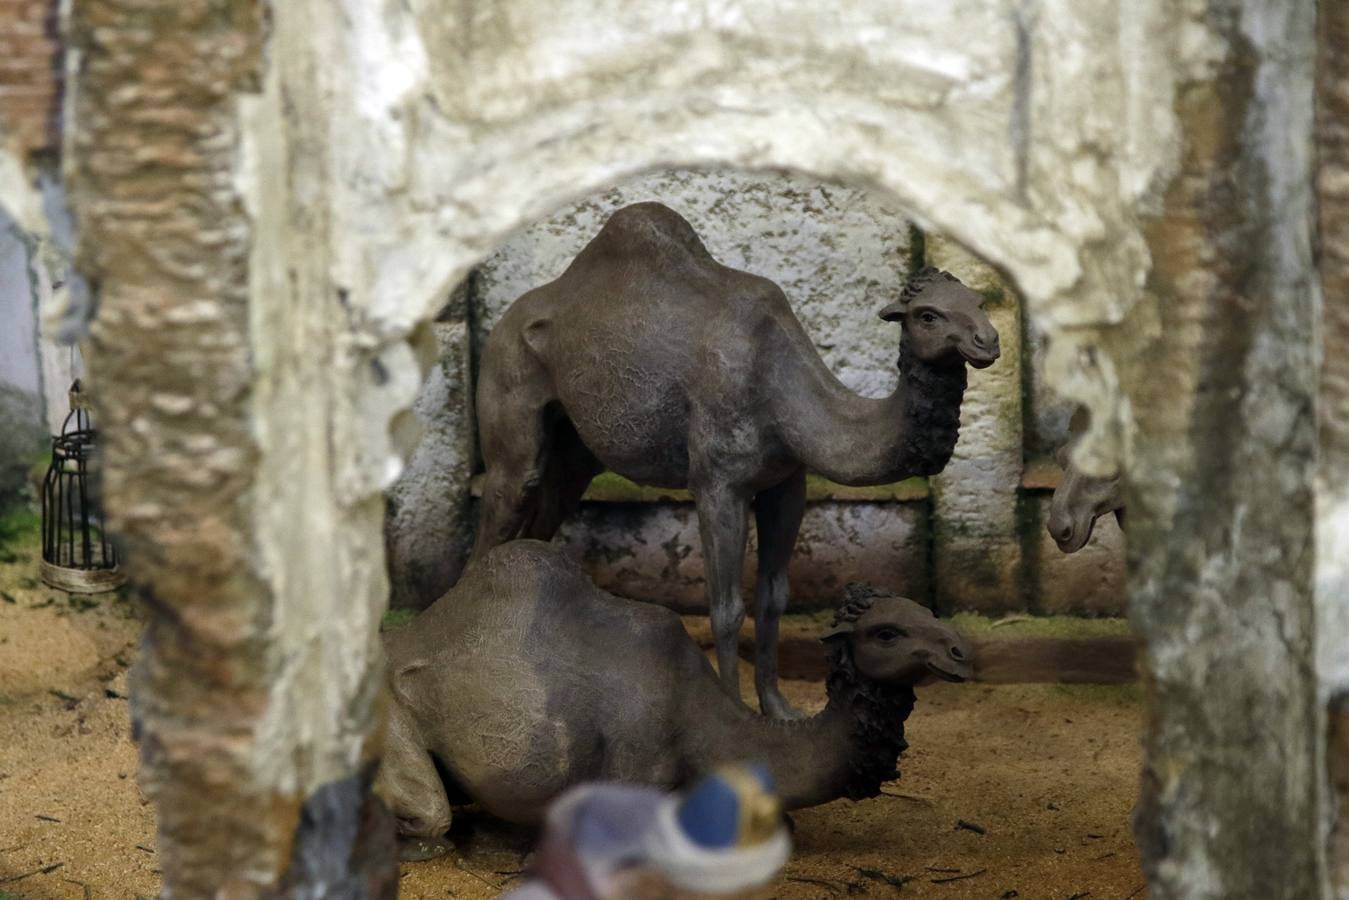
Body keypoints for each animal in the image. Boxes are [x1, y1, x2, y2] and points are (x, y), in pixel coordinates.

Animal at [472, 202, 992, 717]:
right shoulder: (717, 485)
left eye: (980, 303)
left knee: (542, 521)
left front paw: (779, 708)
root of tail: (506, 322)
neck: (783, 388)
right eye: (928, 315)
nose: (988, 341)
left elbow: (773, 597)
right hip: (509, 386)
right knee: (502, 510)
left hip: (574, 453)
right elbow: (726, 608)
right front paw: (736, 712)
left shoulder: (786, 482)